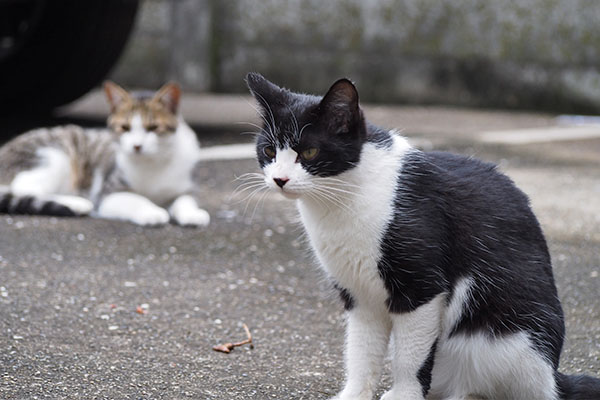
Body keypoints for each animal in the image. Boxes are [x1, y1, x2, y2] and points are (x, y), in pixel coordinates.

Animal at [245, 72, 600, 400]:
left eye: (309, 152)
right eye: (268, 150)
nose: (279, 179)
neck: (342, 200)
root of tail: (554, 376)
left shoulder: (422, 287)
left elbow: (410, 354)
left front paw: (403, 394)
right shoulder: (360, 295)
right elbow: (361, 350)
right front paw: (355, 393)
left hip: (506, 338)